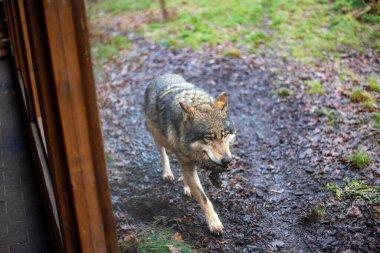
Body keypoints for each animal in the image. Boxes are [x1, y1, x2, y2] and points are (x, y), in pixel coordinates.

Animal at [144, 74, 236, 234]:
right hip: (158, 138)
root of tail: (162, 75)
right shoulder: (186, 160)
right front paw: (214, 224)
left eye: (224, 135)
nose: (227, 161)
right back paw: (168, 174)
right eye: (208, 137)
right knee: (163, 154)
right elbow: (204, 199)